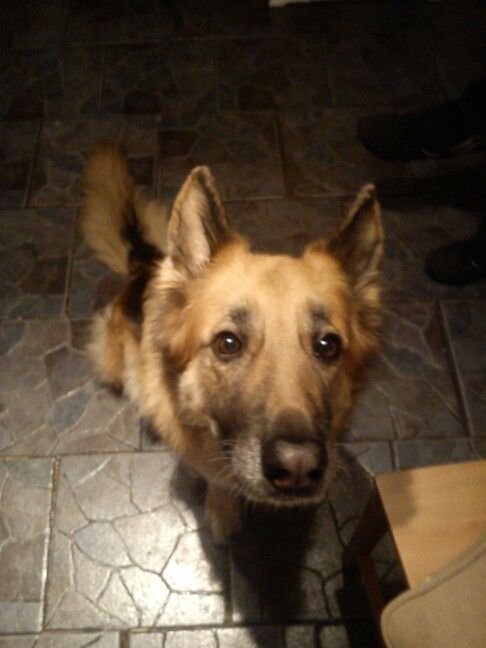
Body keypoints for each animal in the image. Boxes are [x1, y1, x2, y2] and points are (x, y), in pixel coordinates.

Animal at [81, 146, 384, 540]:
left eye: (327, 345)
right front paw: (222, 508)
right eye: (228, 343)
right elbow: (219, 478)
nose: (298, 468)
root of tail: (143, 265)